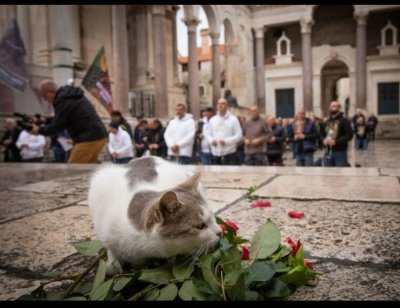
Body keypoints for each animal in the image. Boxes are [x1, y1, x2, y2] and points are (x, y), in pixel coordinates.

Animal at [86, 156, 222, 274]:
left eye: (213, 217)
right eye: (200, 226)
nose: (220, 232)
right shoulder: (106, 233)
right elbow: (112, 252)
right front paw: (111, 266)